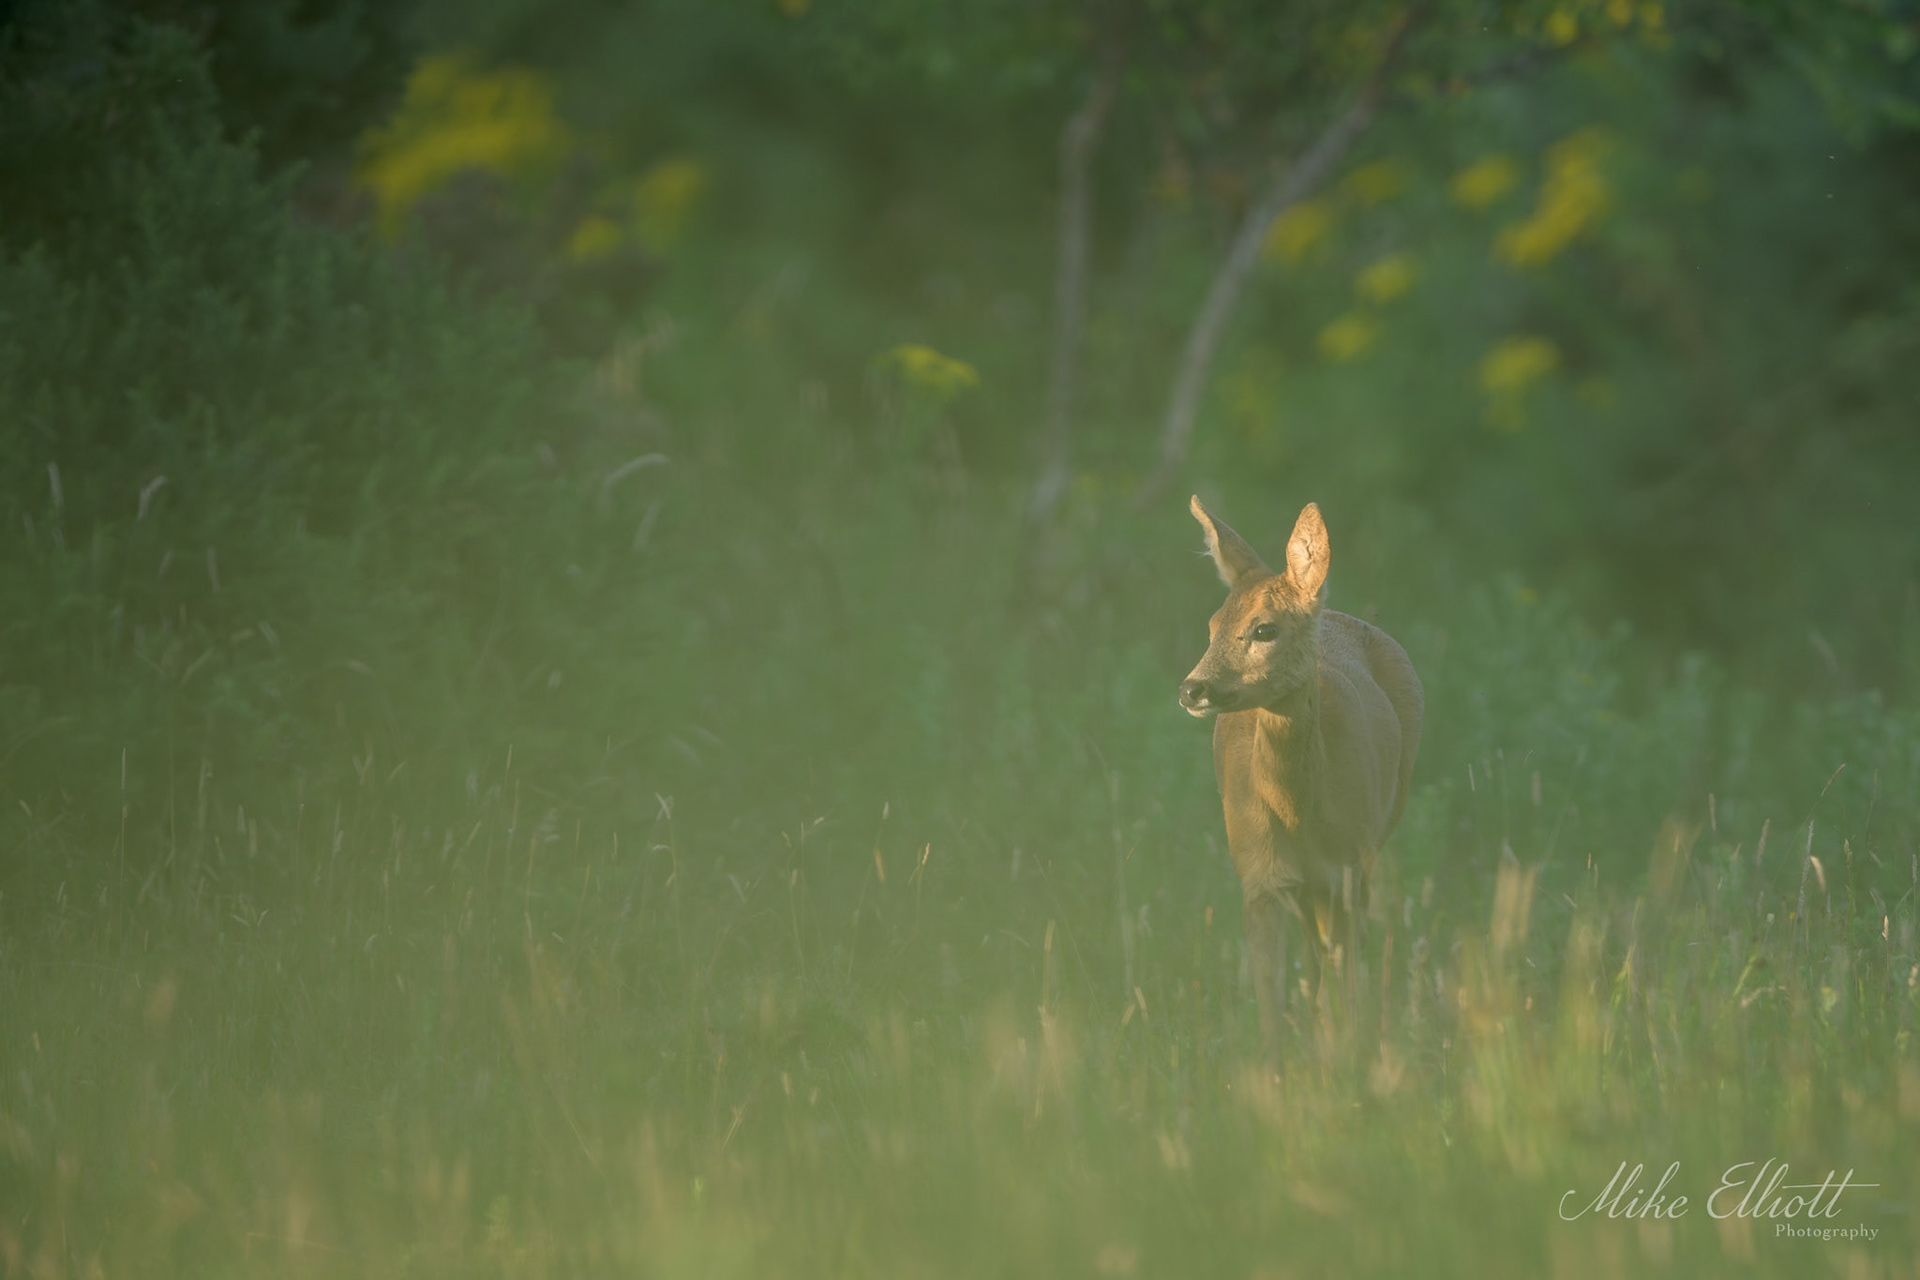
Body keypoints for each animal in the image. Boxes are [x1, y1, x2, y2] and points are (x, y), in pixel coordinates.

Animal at [1178, 497, 1423, 1049]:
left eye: (1264, 628)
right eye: (1213, 625)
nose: (1191, 689)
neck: (1300, 816)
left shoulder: (1347, 868)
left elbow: (1340, 984)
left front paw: (1342, 1056)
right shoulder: (1259, 876)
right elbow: (1270, 998)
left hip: (1375, 841)